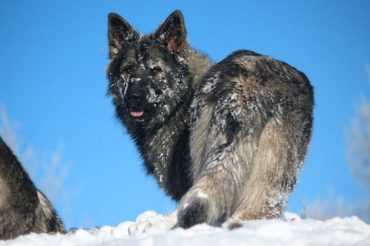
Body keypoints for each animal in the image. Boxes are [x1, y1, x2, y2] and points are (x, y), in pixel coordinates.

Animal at [106, 10, 312, 229]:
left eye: (156, 70)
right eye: (128, 69)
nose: (134, 97)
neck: (182, 100)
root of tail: (254, 86)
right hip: (272, 182)